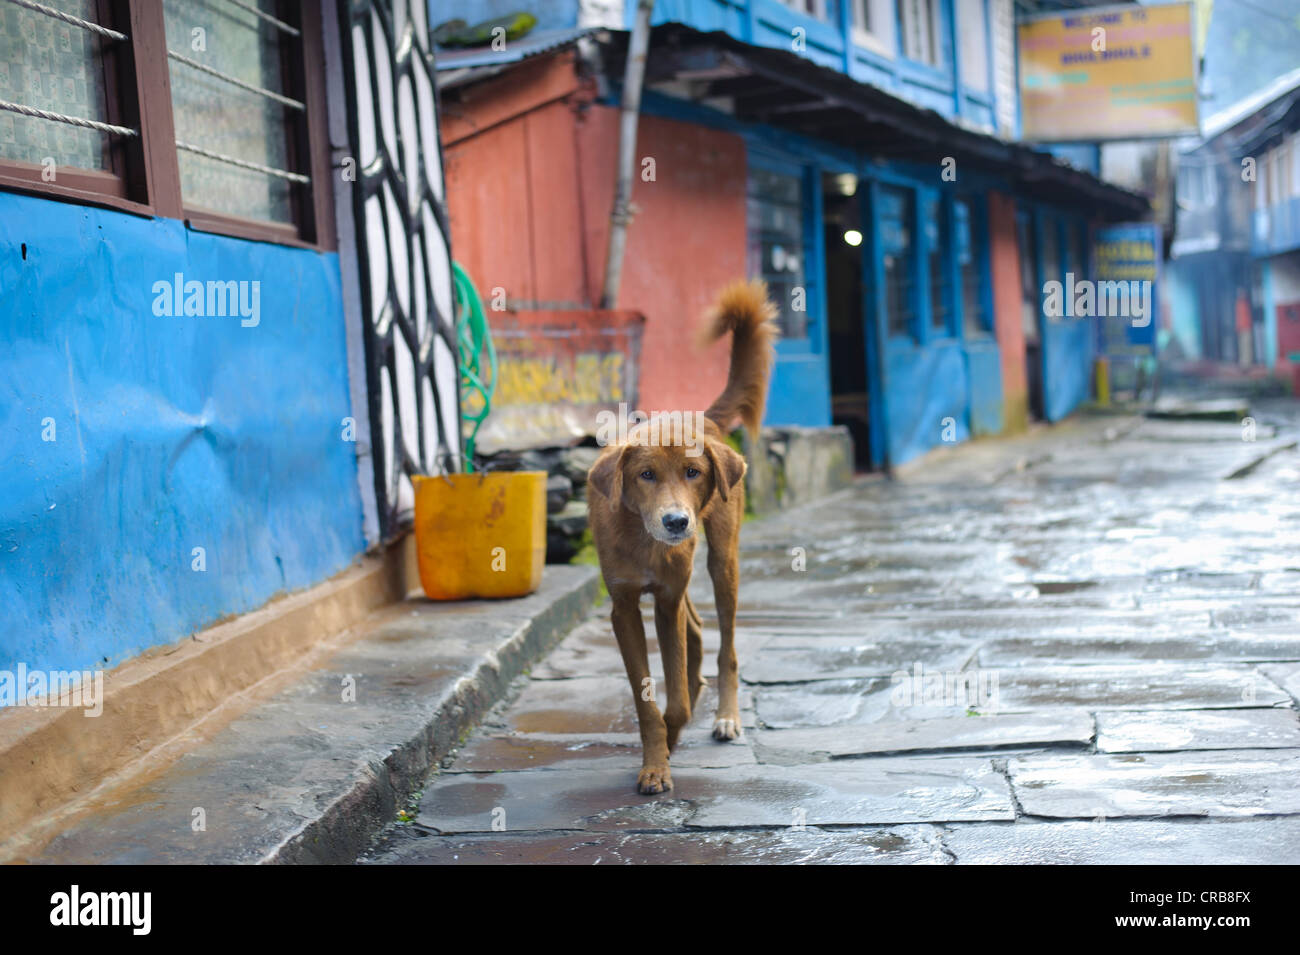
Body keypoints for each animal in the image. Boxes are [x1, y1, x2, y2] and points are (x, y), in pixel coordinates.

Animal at [592, 280, 780, 795]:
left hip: (719, 563)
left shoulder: (666, 600)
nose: (677, 522)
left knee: (726, 648)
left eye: (693, 473)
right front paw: (657, 757)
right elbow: (646, 699)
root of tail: (704, 418)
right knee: (696, 629)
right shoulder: (625, 607)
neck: (642, 538)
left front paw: (669, 744)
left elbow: (672, 698)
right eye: (646, 475)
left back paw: (724, 716)